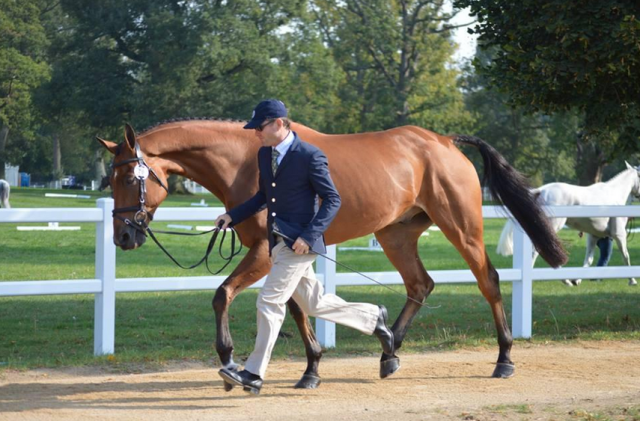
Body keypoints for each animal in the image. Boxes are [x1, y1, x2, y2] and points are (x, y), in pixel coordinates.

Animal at [95, 119, 564, 388]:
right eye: (109, 180)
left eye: (129, 179)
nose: (124, 236)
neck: (246, 162)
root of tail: (444, 142)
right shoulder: (283, 252)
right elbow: (297, 307)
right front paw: (311, 368)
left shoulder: (265, 252)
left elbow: (224, 294)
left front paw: (230, 361)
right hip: (395, 234)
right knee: (420, 285)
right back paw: (388, 351)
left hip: (462, 228)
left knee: (489, 281)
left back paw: (504, 359)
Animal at [498, 161, 640, 286]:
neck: (614, 194)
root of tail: (540, 191)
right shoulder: (619, 235)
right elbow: (625, 255)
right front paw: (632, 280)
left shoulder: (593, 236)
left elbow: (589, 259)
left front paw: (577, 280)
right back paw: (562, 280)